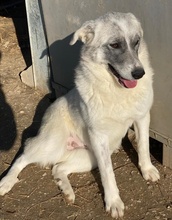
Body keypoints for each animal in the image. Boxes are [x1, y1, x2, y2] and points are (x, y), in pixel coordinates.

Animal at [0, 12, 160, 218]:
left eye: (136, 42)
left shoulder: (141, 119)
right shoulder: (99, 136)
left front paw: (147, 169)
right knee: (24, 154)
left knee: (58, 168)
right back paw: (6, 182)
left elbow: (144, 147)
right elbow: (108, 174)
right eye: (115, 45)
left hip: (88, 158)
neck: (115, 90)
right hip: (51, 146)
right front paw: (113, 202)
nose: (139, 73)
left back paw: (67, 191)